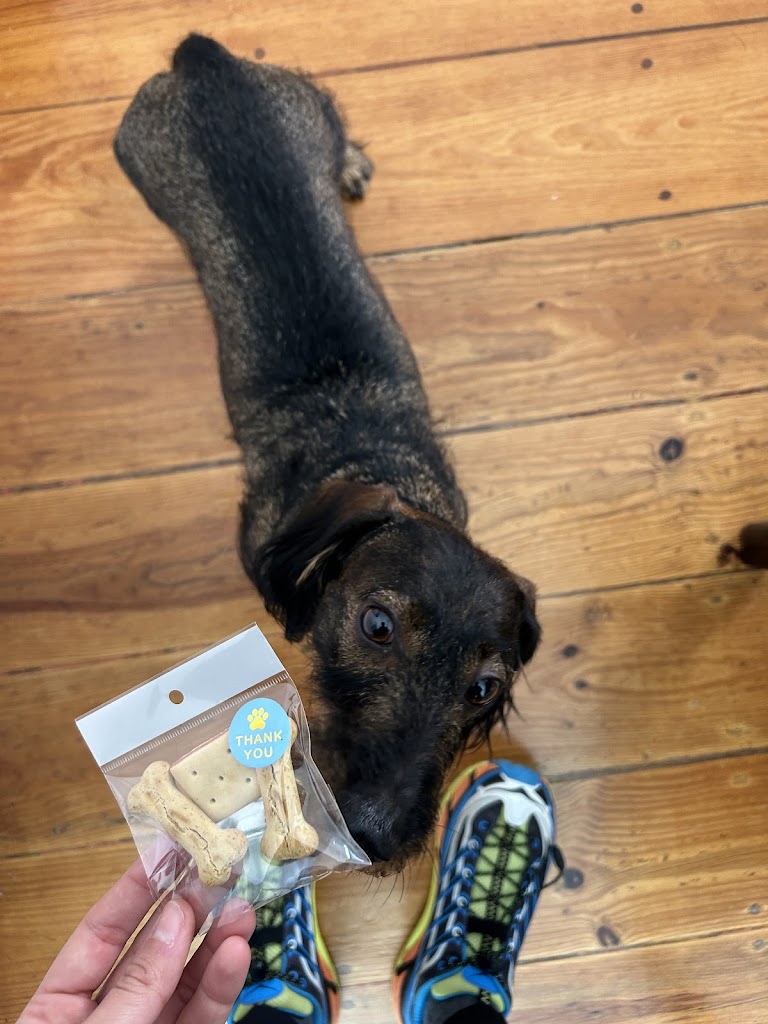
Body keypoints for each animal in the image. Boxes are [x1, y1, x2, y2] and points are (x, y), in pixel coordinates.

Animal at [114, 34, 541, 866]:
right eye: (377, 626)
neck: (366, 459)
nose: (374, 836)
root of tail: (204, 58)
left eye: (483, 688)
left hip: (309, 108)